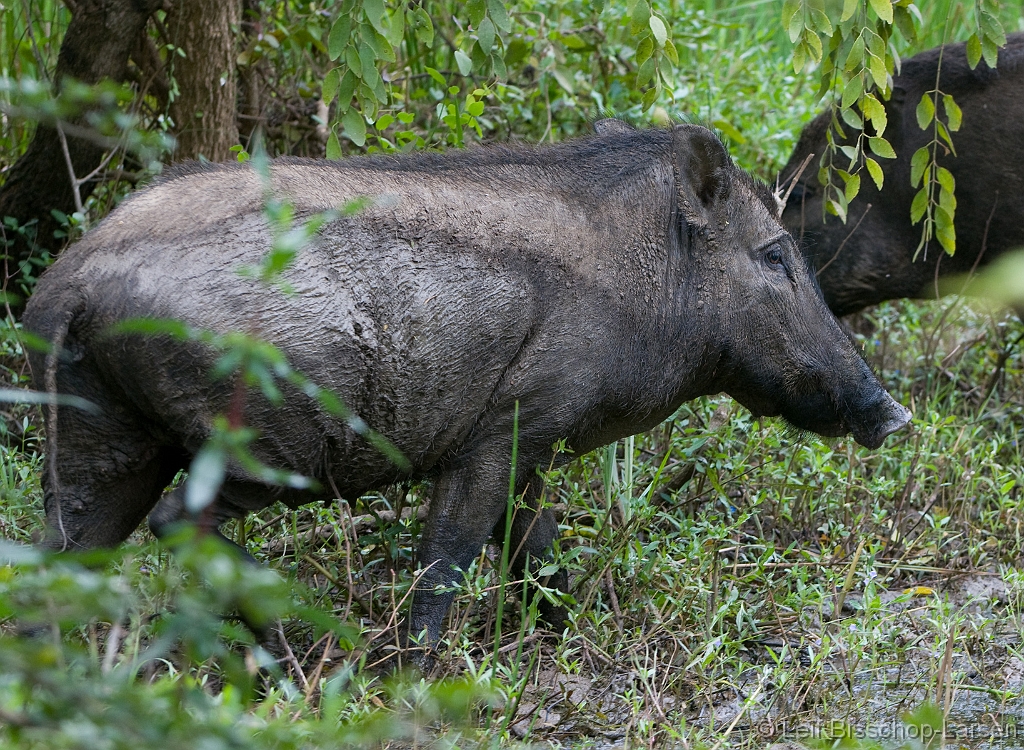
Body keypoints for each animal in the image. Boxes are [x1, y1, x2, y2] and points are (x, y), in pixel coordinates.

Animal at [24, 122, 909, 643]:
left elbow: (535, 547)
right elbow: (449, 556)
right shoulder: (502, 430)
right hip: (265, 443)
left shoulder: (535, 441)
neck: (645, 282)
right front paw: (413, 676)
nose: (893, 415)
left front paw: (563, 634)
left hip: (98, 441)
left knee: (55, 556)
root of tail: (68, 286)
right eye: (776, 254)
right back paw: (293, 648)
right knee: (178, 521)